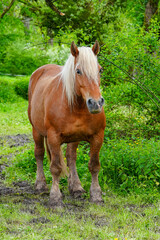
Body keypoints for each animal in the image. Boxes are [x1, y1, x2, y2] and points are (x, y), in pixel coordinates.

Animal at [28, 41, 106, 206]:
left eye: (100, 70)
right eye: (78, 71)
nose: (96, 103)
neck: (76, 106)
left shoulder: (98, 137)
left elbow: (94, 165)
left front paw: (96, 195)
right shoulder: (53, 137)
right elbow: (56, 167)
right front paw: (55, 197)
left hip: (74, 138)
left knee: (71, 158)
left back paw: (76, 187)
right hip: (36, 131)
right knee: (39, 154)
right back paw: (41, 185)